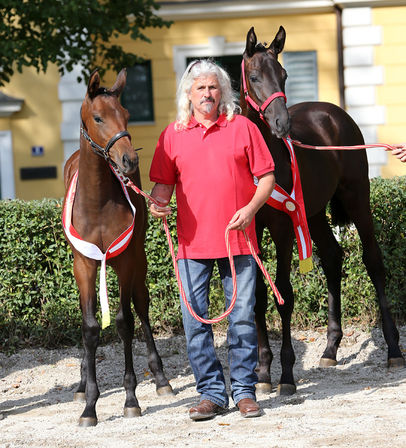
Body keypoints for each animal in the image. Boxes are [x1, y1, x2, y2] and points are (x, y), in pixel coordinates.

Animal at [63, 68, 173, 426]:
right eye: (98, 117)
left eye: (125, 114)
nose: (129, 160)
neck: (97, 202)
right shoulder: (84, 264)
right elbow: (90, 327)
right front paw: (89, 404)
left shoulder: (125, 261)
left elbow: (125, 322)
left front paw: (130, 398)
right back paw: (81, 383)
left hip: (138, 260)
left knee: (141, 307)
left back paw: (161, 379)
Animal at [241, 26, 406, 394]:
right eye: (254, 76)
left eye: (284, 75)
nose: (281, 124)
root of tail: (334, 113)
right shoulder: (253, 227)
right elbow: (258, 295)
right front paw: (263, 374)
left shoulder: (283, 227)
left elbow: (284, 293)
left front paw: (286, 376)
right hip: (314, 213)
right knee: (332, 256)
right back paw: (330, 349)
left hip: (357, 198)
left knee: (373, 261)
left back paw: (393, 351)